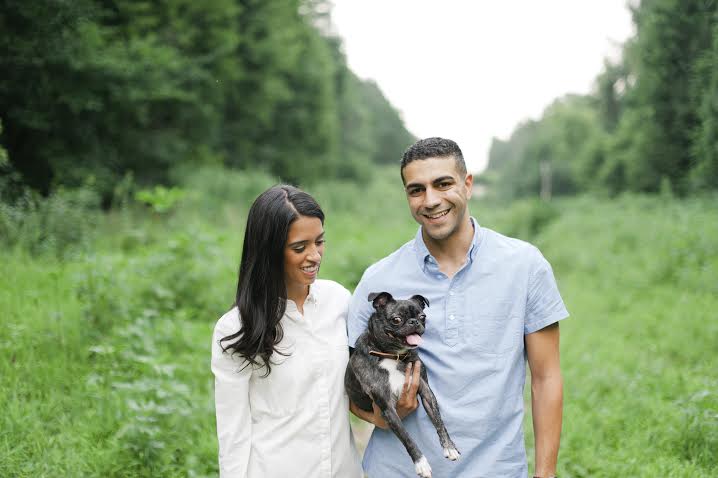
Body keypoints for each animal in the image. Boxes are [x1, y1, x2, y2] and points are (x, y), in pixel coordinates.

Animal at [344, 292, 458, 478]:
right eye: (396, 319)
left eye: (422, 317)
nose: (414, 322)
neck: (392, 355)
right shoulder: (388, 409)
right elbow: (407, 438)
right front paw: (421, 464)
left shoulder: (426, 391)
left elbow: (438, 420)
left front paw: (449, 447)